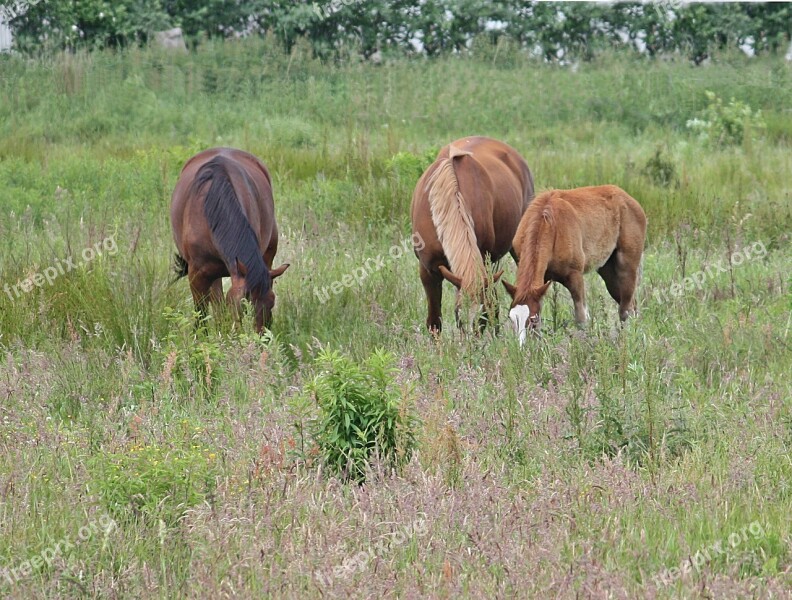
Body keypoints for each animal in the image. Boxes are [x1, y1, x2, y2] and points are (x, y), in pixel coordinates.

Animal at [412, 137, 536, 332]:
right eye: (458, 314)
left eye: (480, 318)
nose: (471, 339)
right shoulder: (428, 271)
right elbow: (434, 321)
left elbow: (491, 306)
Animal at [504, 183, 648, 344]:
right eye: (511, 318)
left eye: (532, 320)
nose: (521, 345)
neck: (551, 224)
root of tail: (629, 199)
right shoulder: (541, 280)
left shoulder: (575, 276)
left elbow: (582, 318)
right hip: (608, 272)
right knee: (631, 305)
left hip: (627, 266)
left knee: (626, 310)